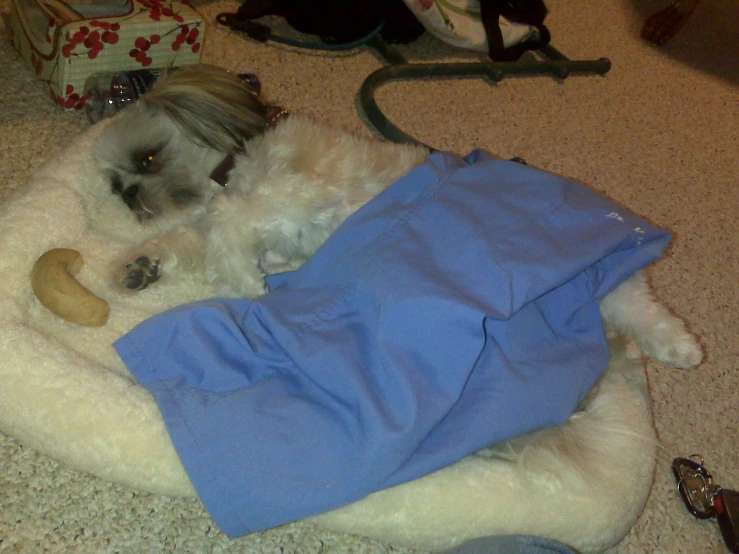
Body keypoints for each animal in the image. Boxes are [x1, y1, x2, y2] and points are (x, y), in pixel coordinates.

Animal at [97, 63, 704, 366]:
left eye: (147, 157)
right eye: (116, 186)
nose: (130, 195)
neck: (233, 161)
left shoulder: (298, 192)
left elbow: (229, 223)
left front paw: (244, 282)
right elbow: (192, 240)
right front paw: (140, 265)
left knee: (642, 308)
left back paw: (679, 348)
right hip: (606, 295)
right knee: (640, 313)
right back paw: (676, 348)